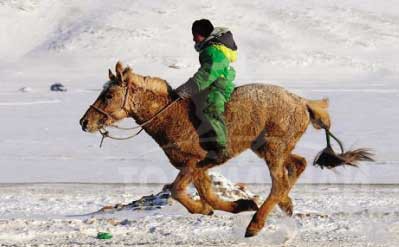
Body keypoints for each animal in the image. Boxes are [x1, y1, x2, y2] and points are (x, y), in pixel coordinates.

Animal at [79, 61, 374, 237]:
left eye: (108, 95)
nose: (84, 122)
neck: (171, 116)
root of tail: (303, 102)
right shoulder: (199, 168)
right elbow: (208, 195)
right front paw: (239, 204)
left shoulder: (192, 163)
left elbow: (178, 191)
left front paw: (214, 208)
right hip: (266, 146)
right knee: (298, 164)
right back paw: (285, 205)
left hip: (273, 148)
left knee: (279, 181)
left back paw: (256, 224)